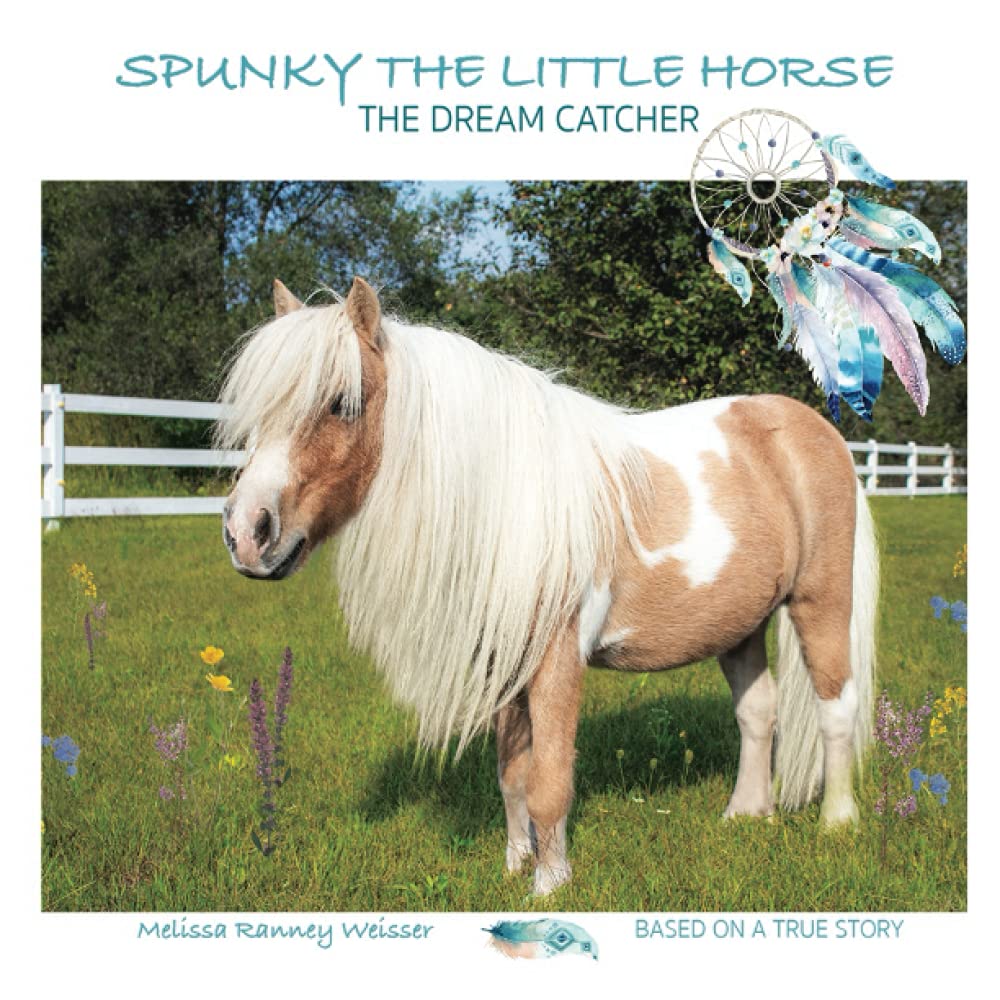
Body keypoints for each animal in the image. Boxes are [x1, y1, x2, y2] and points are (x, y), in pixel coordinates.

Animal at [217, 276, 877, 897]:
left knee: (835, 707)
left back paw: (838, 823)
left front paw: (549, 884)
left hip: (820, 603)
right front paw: (516, 865)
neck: (511, 498)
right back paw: (745, 814)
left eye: (341, 403)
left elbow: (549, 780)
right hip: (741, 625)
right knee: (758, 712)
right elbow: (513, 775)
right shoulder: (504, 659)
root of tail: (816, 431)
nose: (247, 534)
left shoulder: (558, 661)